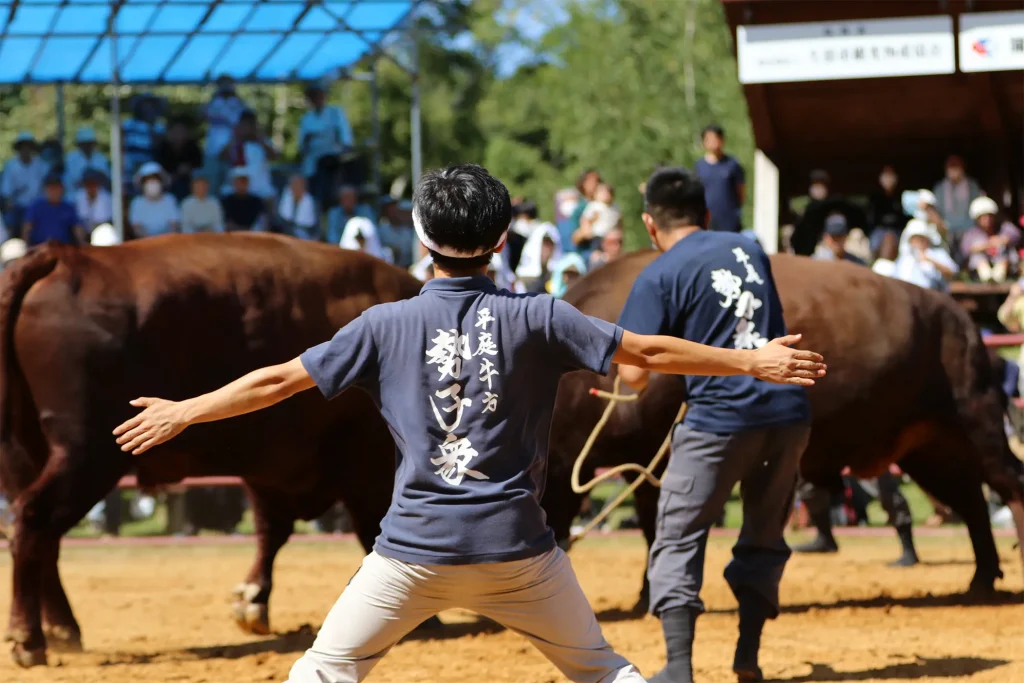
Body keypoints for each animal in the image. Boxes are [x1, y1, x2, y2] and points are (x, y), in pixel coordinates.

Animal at [1, 235, 419, 667]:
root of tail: (64, 256)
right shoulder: (364, 465)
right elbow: (369, 528)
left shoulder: (269, 470)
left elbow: (272, 530)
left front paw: (251, 601)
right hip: (87, 456)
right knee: (35, 521)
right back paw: (29, 640)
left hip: (27, 456)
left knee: (39, 534)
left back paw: (63, 631)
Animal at [544, 249, 1024, 610]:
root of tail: (963, 322)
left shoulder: (654, 466)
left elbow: (653, 530)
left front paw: (647, 596)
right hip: (927, 449)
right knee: (972, 501)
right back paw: (981, 579)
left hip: (976, 427)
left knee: (1007, 485)